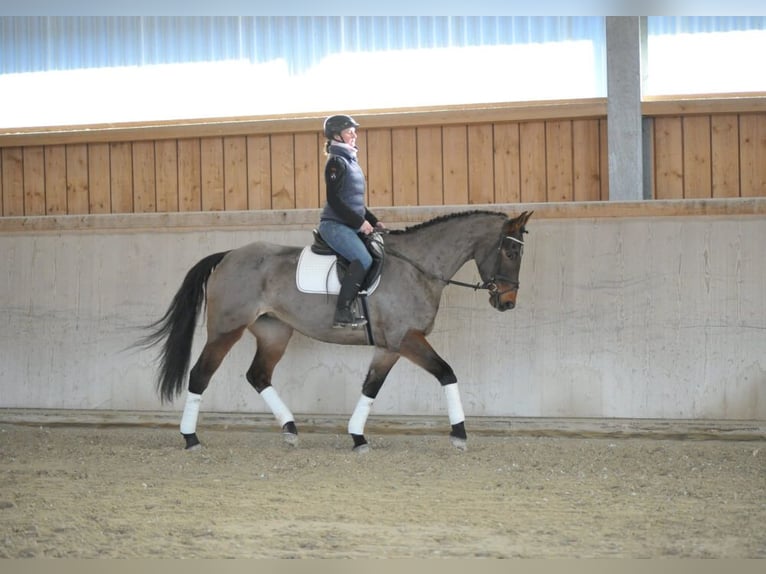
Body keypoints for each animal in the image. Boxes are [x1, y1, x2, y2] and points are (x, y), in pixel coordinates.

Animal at [138, 209, 536, 452]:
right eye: (511, 253)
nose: (508, 302)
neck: (417, 268)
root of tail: (229, 255)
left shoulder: (389, 347)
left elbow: (371, 387)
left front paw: (358, 436)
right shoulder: (407, 339)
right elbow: (447, 373)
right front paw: (459, 434)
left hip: (274, 332)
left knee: (258, 375)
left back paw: (290, 430)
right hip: (226, 330)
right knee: (200, 375)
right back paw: (191, 437)